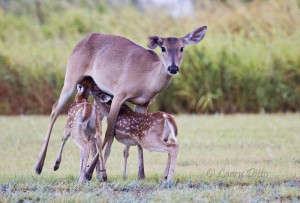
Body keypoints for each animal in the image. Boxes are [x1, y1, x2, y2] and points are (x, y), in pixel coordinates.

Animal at [35, 25, 206, 179]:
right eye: (163, 48)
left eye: (182, 48)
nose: (173, 68)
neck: (146, 79)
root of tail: (82, 40)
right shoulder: (119, 93)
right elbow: (109, 132)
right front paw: (92, 172)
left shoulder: (144, 103)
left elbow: (136, 138)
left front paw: (141, 174)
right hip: (71, 75)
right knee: (55, 110)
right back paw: (41, 166)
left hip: (91, 87)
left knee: (93, 126)